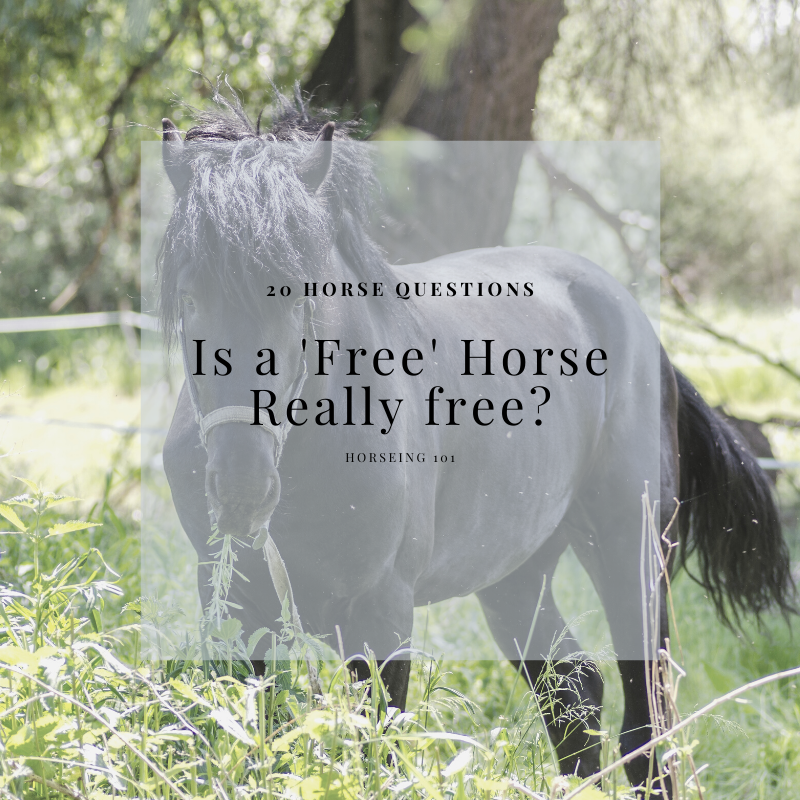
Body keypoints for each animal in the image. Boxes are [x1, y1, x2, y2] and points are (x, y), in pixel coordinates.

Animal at [157, 91, 795, 795]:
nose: (242, 487)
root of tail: (640, 328)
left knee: (645, 726)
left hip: (630, 551)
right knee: (573, 694)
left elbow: (378, 752)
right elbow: (261, 745)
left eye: (297, 299)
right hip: (517, 574)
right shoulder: (240, 608)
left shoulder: (381, 612)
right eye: (189, 298)